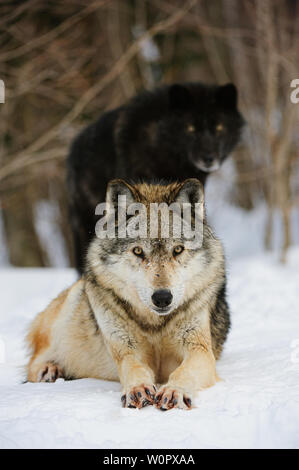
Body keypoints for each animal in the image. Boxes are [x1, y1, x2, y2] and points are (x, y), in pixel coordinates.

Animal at [27, 178, 231, 410]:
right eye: (138, 251)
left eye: (178, 250)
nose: (162, 297)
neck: (155, 326)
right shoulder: (126, 350)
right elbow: (134, 367)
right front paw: (138, 388)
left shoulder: (200, 350)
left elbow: (184, 371)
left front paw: (174, 391)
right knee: (33, 362)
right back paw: (49, 370)